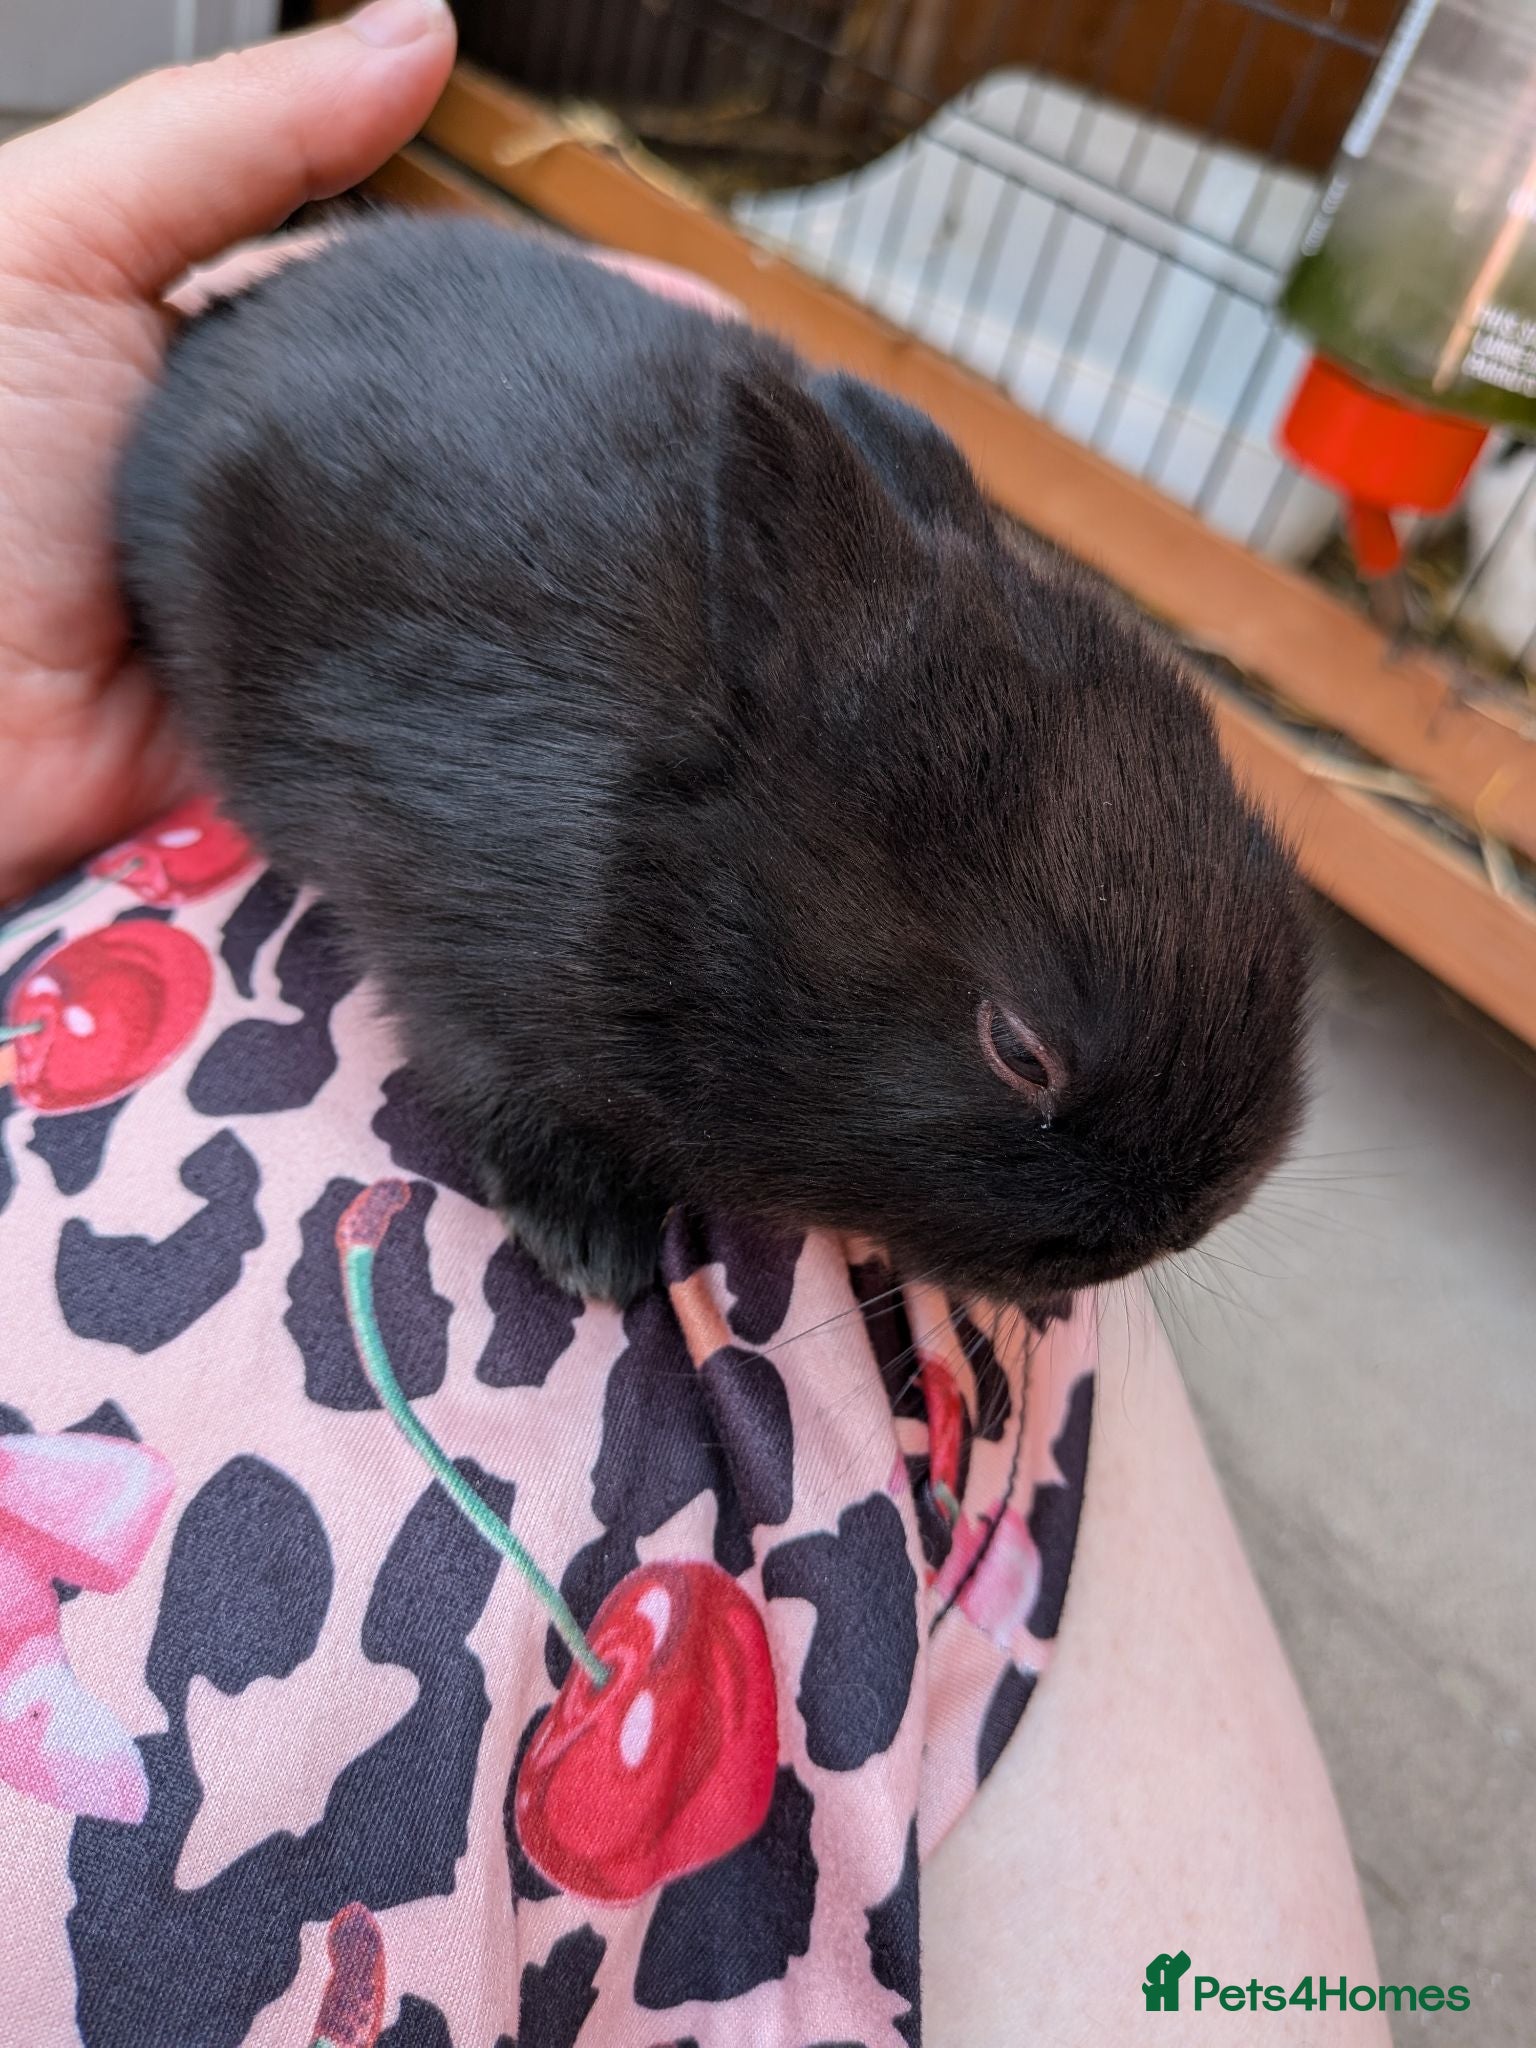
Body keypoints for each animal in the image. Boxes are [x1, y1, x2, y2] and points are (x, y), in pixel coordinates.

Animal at [116, 214, 1311, 1309]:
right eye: (1017, 1047)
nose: (1179, 1223)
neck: (670, 849)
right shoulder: (446, 945)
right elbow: (489, 1077)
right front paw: (593, 1248)